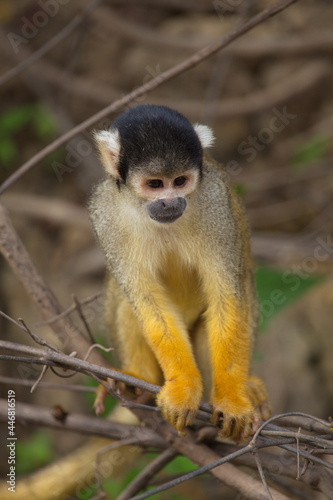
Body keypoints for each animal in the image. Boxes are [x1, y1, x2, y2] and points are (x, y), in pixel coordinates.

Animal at [89, 103, 270, 440]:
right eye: (155, 184)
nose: (170, 202)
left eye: (180, 181)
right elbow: (148, 302)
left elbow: (227, 296)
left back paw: (243, 387)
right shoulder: (104, 211)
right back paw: (138, 380)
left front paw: (232, 399)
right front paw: (183, 388)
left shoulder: (215, 202)